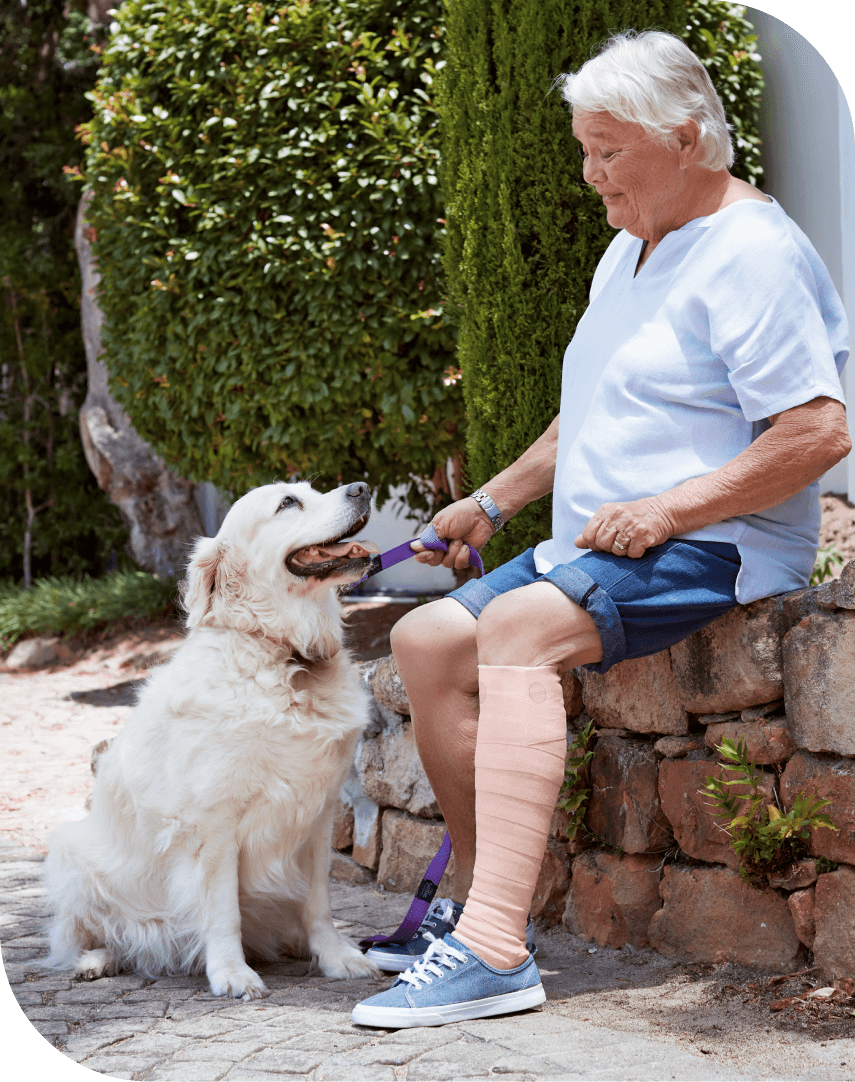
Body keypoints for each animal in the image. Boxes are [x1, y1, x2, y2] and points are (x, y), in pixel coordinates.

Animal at [41, 480, 383, 995]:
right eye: (288, 503)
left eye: (312, 489)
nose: (361, 488)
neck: (281, 652)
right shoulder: (214, 823)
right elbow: (223, 911)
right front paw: (231, 972)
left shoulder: (318, 815)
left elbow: (318, 902)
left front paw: (335, 956)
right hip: (72, 854)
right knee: (97, 933)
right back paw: (97, 960)